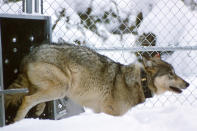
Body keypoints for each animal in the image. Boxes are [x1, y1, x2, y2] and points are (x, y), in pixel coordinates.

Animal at [5, 42, 189, 122]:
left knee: (32, 97)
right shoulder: (111, 113)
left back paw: (37, 110)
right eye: (171, 74)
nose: (187, 84)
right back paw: (18, 122)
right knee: (26, 99)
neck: (139, 81)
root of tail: (31, 53)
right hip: (61, 87)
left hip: (55, 88)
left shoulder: (99, 111)